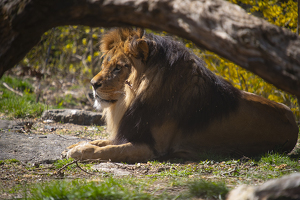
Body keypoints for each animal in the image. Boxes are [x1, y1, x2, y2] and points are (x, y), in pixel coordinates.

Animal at [62, 28, 298, 162]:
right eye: (106, 64)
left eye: (119, 68)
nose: (93, 84)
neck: (129, 99)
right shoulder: (130, 133)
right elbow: (103, 141)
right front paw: (75, 146)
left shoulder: (151, 148)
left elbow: (107, 151)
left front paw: (79, 152)